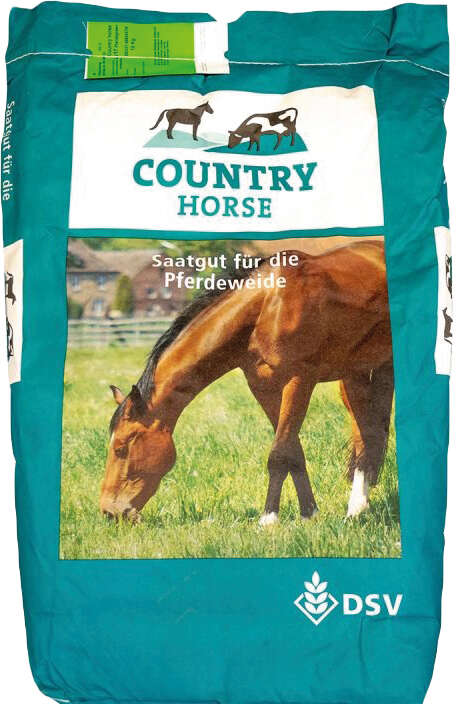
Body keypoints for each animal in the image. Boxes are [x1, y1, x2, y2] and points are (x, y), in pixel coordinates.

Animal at [100, 241, 394, 525]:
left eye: (121, 448)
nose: (109, 511)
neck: (266, 308)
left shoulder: (299, 381)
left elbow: (280, 453)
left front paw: (269, 519)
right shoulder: (264, 388)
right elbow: (293, 451)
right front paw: (309, 513)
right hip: (355, 375)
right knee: (366, 436)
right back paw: (357, 508)